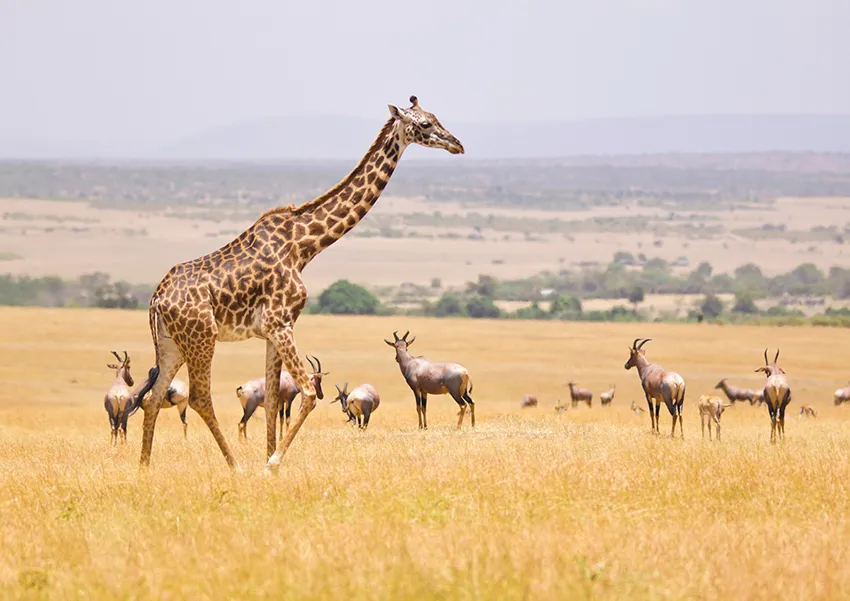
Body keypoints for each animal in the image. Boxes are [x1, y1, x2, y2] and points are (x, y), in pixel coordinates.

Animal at [139, 96, 464, 471]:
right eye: (424, 124)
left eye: (436, 117)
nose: (457, 144)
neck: (303, 246)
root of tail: (156, 299)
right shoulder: (281, 323)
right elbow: (308, 392)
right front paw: (272, 463)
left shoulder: (270, 330)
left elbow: (271, 400)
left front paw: (270, 458)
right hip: (202, 337)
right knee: (199, 397)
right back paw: (235, 466)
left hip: (172, 343)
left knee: (152, 398)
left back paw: (144, 466)